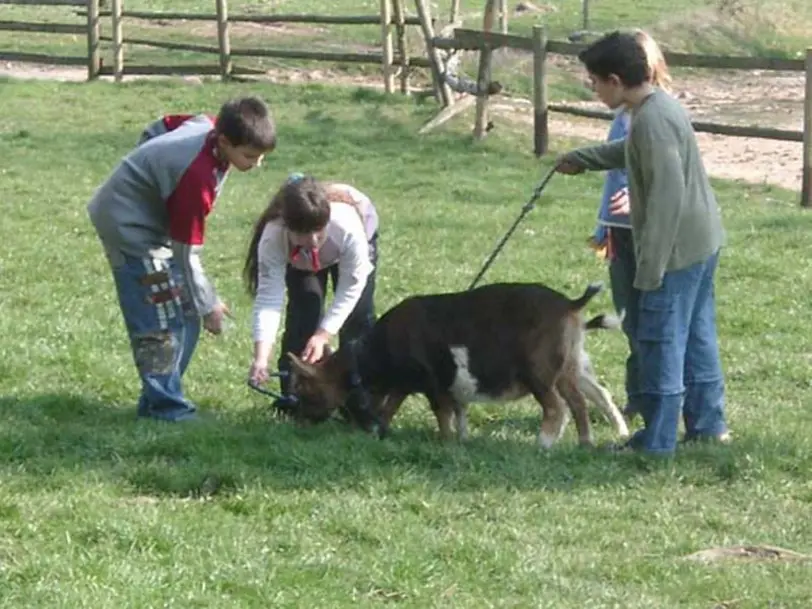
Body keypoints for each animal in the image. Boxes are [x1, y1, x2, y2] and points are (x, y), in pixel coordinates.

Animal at [286, 280, 628, 446]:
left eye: (304, 389)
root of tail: (571, 304)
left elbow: (442, 412)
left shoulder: (431, 383)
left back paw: (542, 444)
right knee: (583, 401)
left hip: (540, 372)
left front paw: (447, 441)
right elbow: (399, 407)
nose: (296, 423)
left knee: (558, 407)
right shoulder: (412, 385)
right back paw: (589, 442)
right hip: (570, 366)